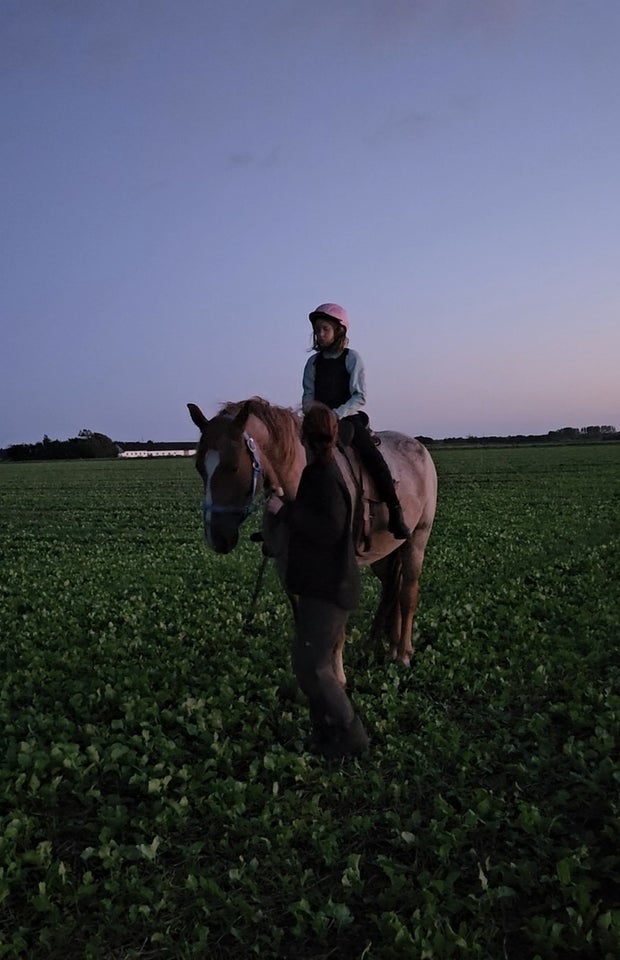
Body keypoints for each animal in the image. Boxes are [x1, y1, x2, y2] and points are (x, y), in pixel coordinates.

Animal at [188, 398, 436, 668]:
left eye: (233, 466)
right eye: (199, 467)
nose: (216, 538)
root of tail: (418, 447)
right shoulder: (289, 567)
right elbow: (302, 618)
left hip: (417, 539)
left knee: (408, 592)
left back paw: (403, 653)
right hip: (385, 551)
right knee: (391, 587)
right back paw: (381, 645)